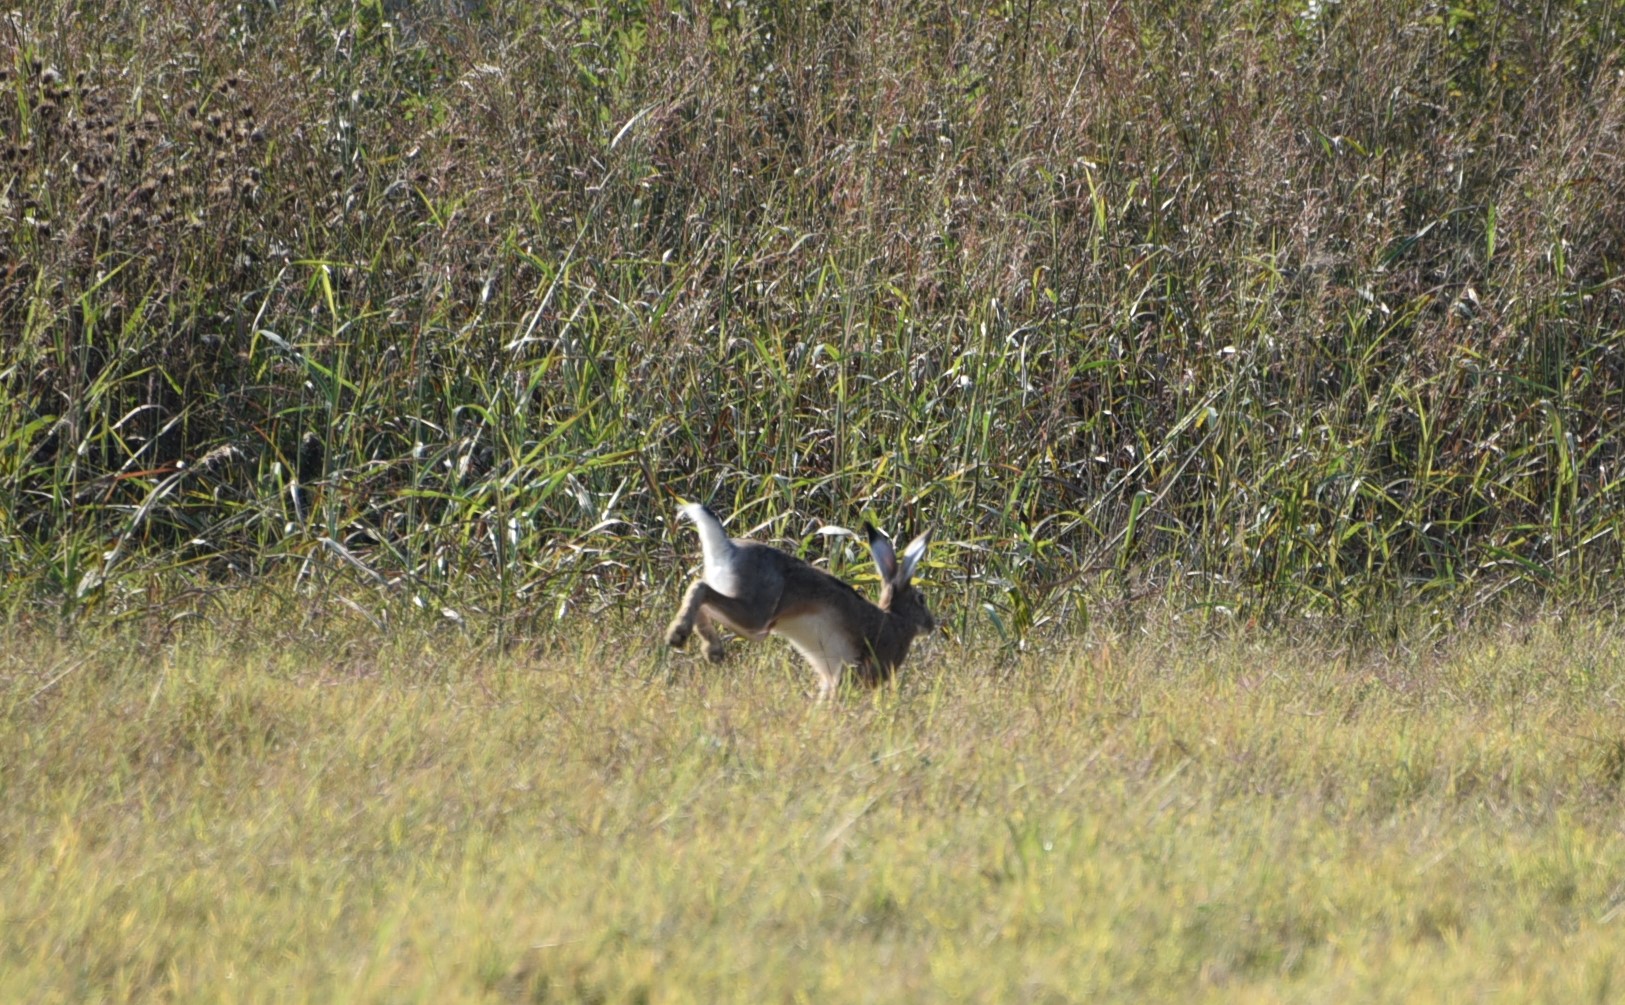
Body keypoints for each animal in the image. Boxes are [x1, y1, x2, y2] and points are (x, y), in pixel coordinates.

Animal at [665, 503, 934, 699]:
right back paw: (679, 633)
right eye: (921, 599)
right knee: (700, 588)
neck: (897, 619)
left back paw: (710, 649)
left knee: (702, 593)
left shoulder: (832, 676)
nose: (932, 625)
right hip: (756, 616)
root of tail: (726, 548)